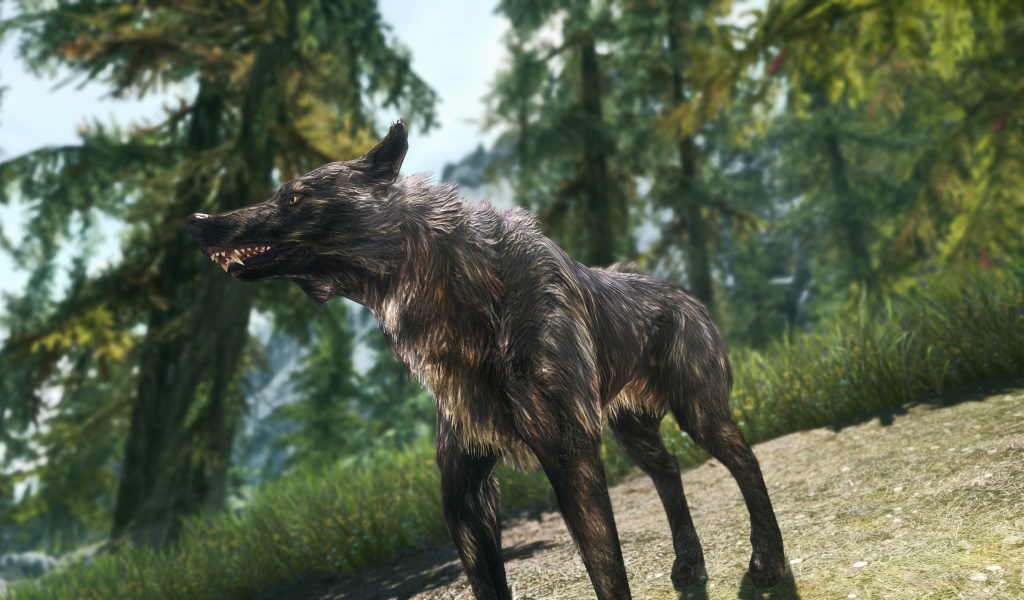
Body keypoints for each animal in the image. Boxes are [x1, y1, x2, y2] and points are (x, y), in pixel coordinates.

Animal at [185, 121, 786, 598]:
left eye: (292, 198)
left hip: (699, 415)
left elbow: (608, 572)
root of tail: (689, 298)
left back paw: (768, 562)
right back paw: (689, 566)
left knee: (746, 462)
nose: (196, 220)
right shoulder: (465, 493)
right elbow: (490, 584)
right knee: (669, 471)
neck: (462, 297)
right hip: (632, 431)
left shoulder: (569, 457)